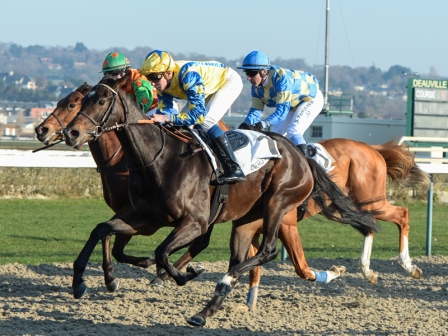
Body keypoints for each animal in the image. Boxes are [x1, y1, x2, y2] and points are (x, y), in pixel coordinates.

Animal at [62, 76, 378, 326]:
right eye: (80, 102)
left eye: (101, 101)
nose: (71, 133)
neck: (157, 158)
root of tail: (300, 154)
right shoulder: (145, 218)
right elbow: (102, 230)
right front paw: (81, 282)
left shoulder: (195, 222)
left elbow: (163, 252)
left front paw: (185, 274)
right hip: (246, 219)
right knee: (241, 258)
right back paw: (205, 311)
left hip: (278, 202)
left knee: (267, 251)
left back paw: (220, 283)